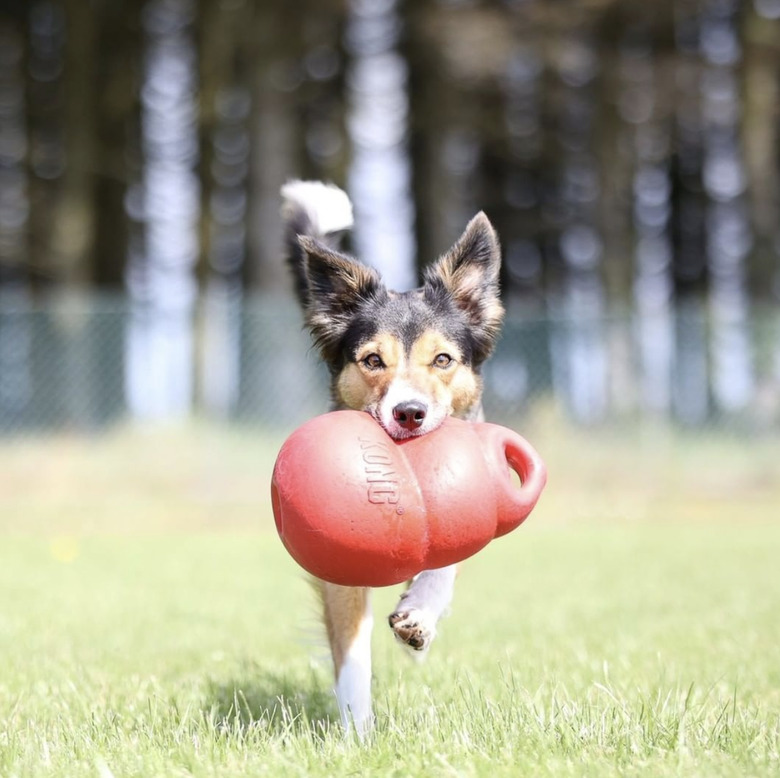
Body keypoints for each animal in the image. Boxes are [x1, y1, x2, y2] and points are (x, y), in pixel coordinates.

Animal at [280, 177, 506, 732]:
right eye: (372, 361)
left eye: (442, 360)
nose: (409, 413)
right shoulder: (338, 573)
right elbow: (352, 653)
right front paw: (359, 732)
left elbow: (443, 565)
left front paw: (418, 614)